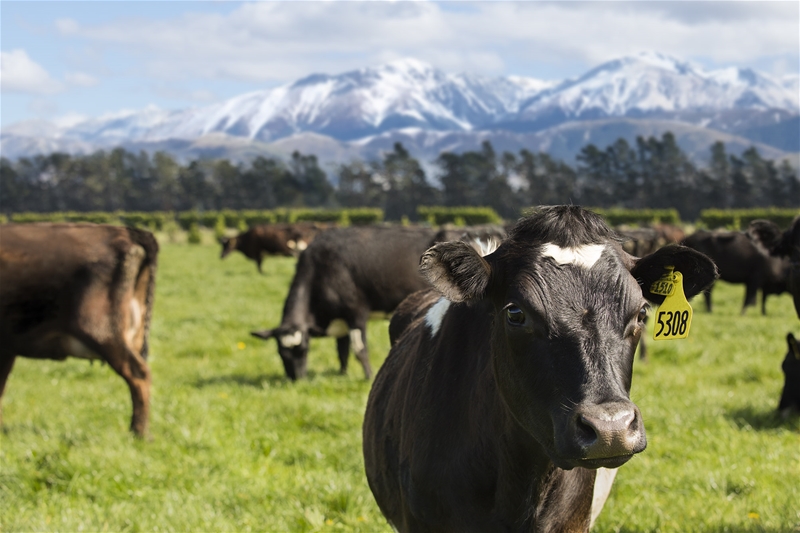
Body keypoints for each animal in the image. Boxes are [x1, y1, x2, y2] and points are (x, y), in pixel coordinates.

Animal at [253, 224, 438, 378]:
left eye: (304, 350)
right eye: (280, 353)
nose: (296, 378)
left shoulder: (356, 314)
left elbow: (360, 350)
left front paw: (368, 376)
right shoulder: (341, 320)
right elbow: (342, 351)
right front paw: (342, 374)